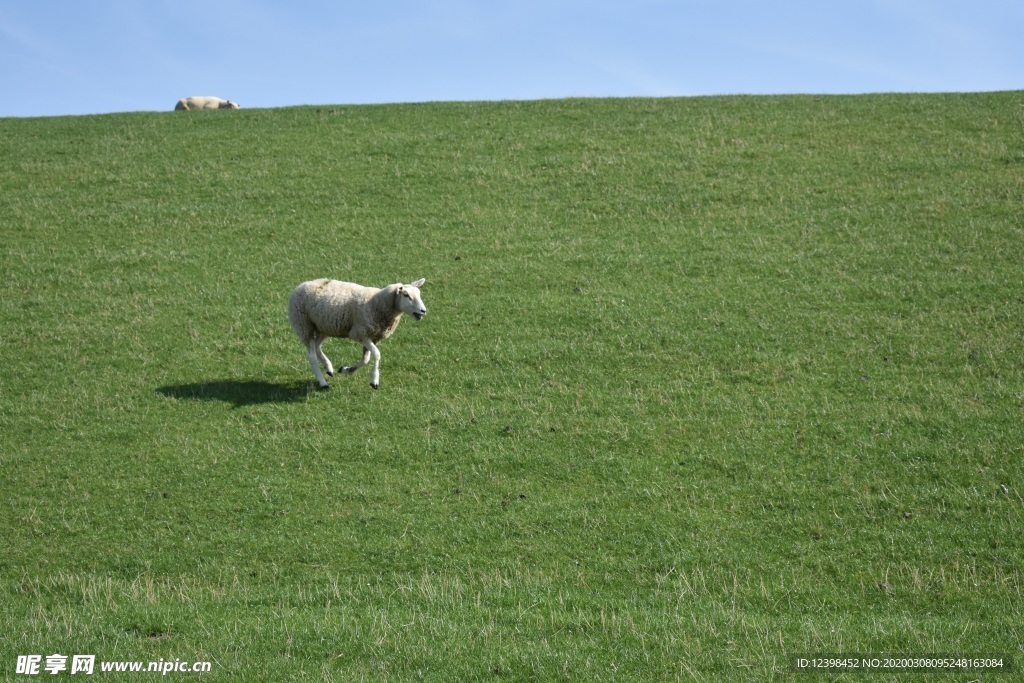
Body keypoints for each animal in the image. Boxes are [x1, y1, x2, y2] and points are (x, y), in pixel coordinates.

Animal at [288, 278, 428, 389]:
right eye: (406, 295)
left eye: (419, 294)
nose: (423, 311)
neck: (378, 303)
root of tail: (300, 285)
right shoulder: (360, 333)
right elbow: (377, 354)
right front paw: (374, 381)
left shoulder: (373, 336)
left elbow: (366, 359)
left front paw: (346, 370)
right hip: (304, 325)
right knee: (311, 355)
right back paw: (323, 382)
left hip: (325, 326)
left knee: (317, 346)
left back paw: (329, 368)